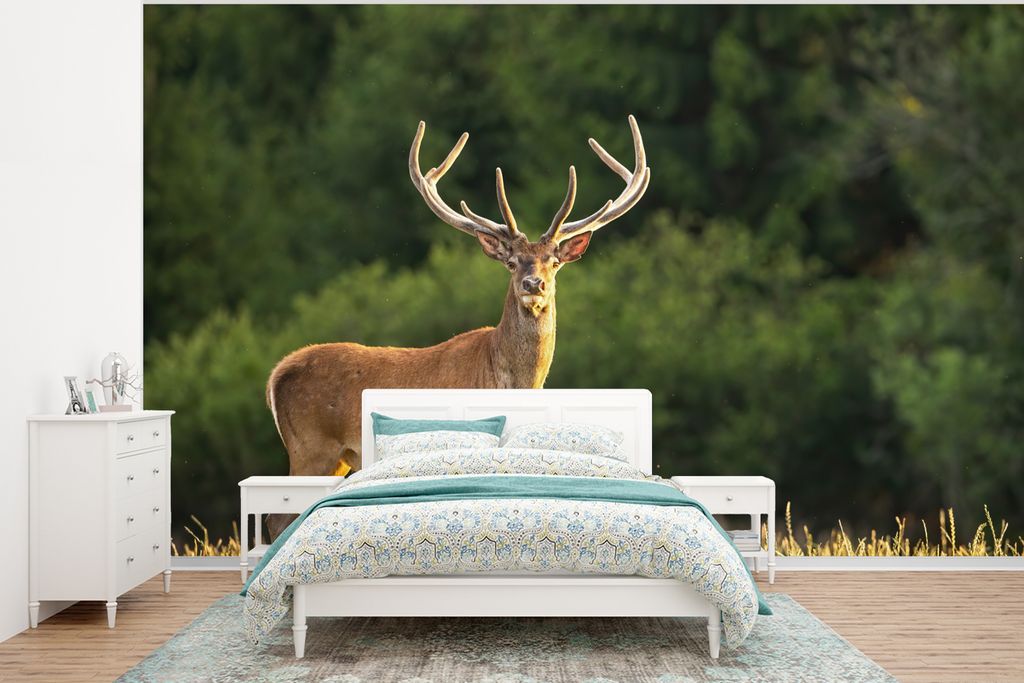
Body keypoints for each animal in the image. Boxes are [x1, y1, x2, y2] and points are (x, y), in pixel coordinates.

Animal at [264, 116, 650, 536]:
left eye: (554, 261)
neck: (509, 380)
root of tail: (277, 374)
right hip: (310, 447)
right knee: (276, 515)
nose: (534, 284)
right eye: (512, 262)